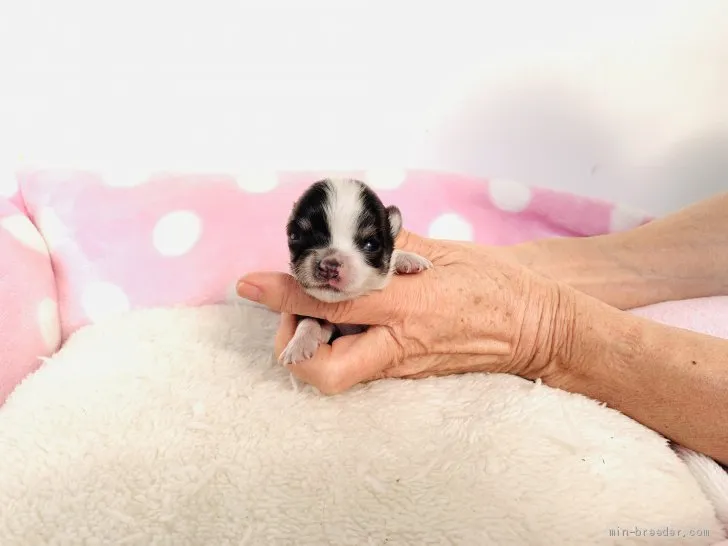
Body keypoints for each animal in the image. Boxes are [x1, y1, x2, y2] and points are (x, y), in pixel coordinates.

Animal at [282, 178, 432, 366]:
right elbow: (308, 318)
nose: (329, 266)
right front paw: (299, 344)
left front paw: (408, 259)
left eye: (371, 244)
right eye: (295, 236)